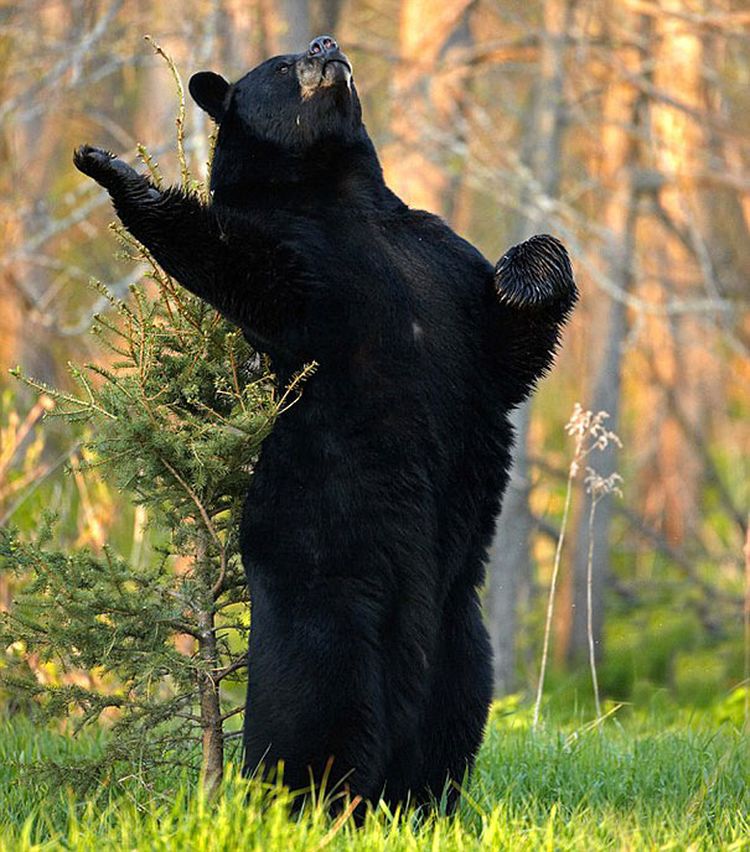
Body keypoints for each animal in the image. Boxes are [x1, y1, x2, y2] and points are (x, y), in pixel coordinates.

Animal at [76, 35, 580, 812]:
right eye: (281, 66)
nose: (325, 45)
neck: (342, 197)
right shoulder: (306, 270)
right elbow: (235, 263)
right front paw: (115, 169)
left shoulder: (441, 260)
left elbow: (508, 348)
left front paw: (527, 270)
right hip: (327, 583)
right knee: (317, 703)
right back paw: (301, 798)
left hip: (460, 623)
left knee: (457, 708)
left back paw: (423, 802)